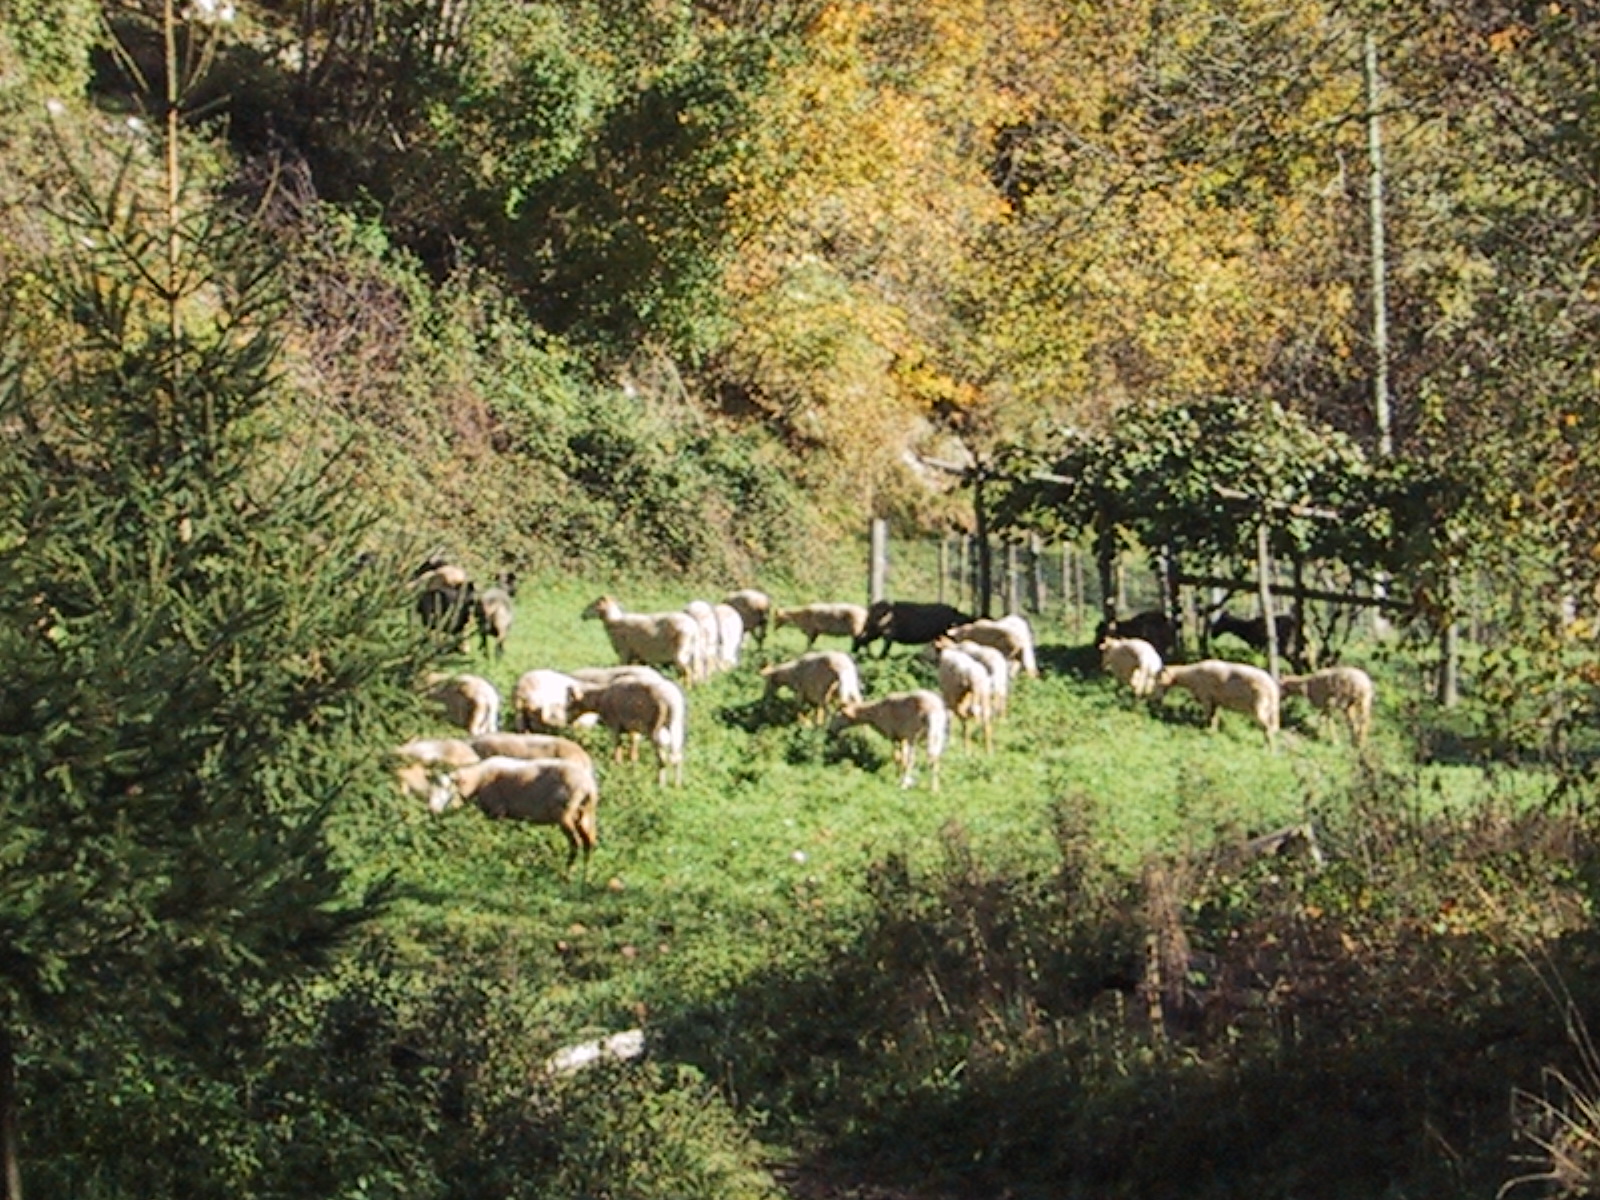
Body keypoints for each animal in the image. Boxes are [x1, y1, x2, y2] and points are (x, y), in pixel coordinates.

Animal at [425, 761, 601, 876]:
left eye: (446, 787)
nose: (432, 809)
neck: (478, 780)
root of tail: (588, 786)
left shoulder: (496, 811)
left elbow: (495, 837)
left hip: (565, 815)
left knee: (576, 843)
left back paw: (567, 874)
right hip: (586, 815)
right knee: (589, 843)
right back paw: (586, 875)